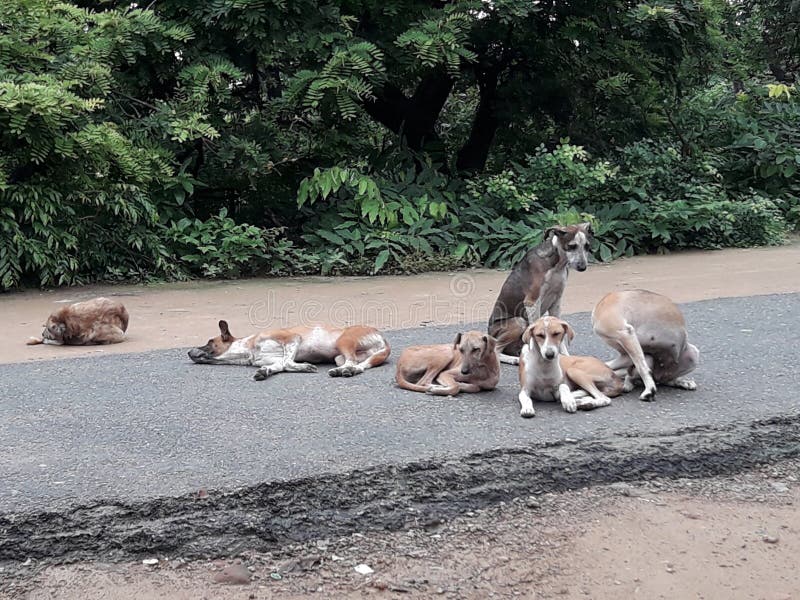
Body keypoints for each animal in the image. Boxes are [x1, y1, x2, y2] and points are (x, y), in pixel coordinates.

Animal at [188, 318, 388, 380]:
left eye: (210, 341)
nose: (189, 352)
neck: (249, 350)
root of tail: (383, 340)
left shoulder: (293, 339)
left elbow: (287, 362)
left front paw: (304, 367)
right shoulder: (274, 360)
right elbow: (279, 365)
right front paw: (265, 372)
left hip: (343, 341)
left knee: (351, 361)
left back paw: (342, 371)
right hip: (343, 357)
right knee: (357, 366)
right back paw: (347, 371)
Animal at [488, 223, 592, 364]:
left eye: (587, 246)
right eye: (572, 246)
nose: (582, 267)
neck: (556, 264)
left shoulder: (556, 302)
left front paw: (565, 356)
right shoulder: (532, 302)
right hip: (519, 321)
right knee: (496, 350)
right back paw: (513, 359)